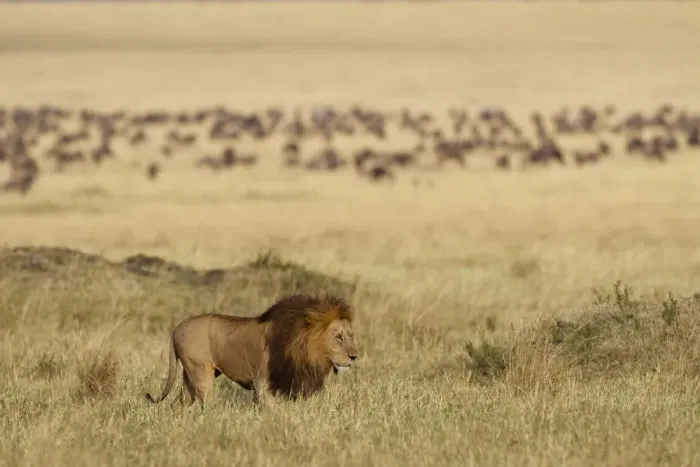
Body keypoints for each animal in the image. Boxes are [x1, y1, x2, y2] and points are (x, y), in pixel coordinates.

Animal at [145, 294, 358, 409]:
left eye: (350, 335)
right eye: (338, 337)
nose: (354, 357)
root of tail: (177, 328)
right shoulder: (262, 383)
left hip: (191, 376)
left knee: (178, 403)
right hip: (200, 372)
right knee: (205, 402)